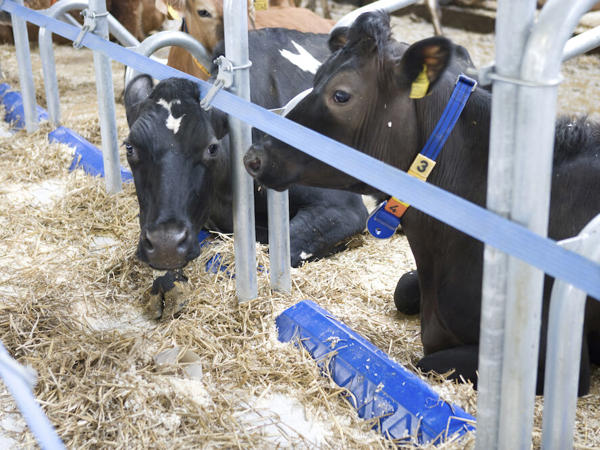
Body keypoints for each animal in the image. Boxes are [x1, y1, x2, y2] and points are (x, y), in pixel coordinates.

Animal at [123, 28, 369, 317]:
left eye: (211, 148)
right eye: (130, 147)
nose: (166, 244)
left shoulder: (344, 208)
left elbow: (283, 245)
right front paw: (167, 281)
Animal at [243, 12, 600, 395]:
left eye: (341, 94)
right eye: (317, 75)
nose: (254, 156)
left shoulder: (552, 361)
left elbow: (427, 362)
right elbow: (402, 288)